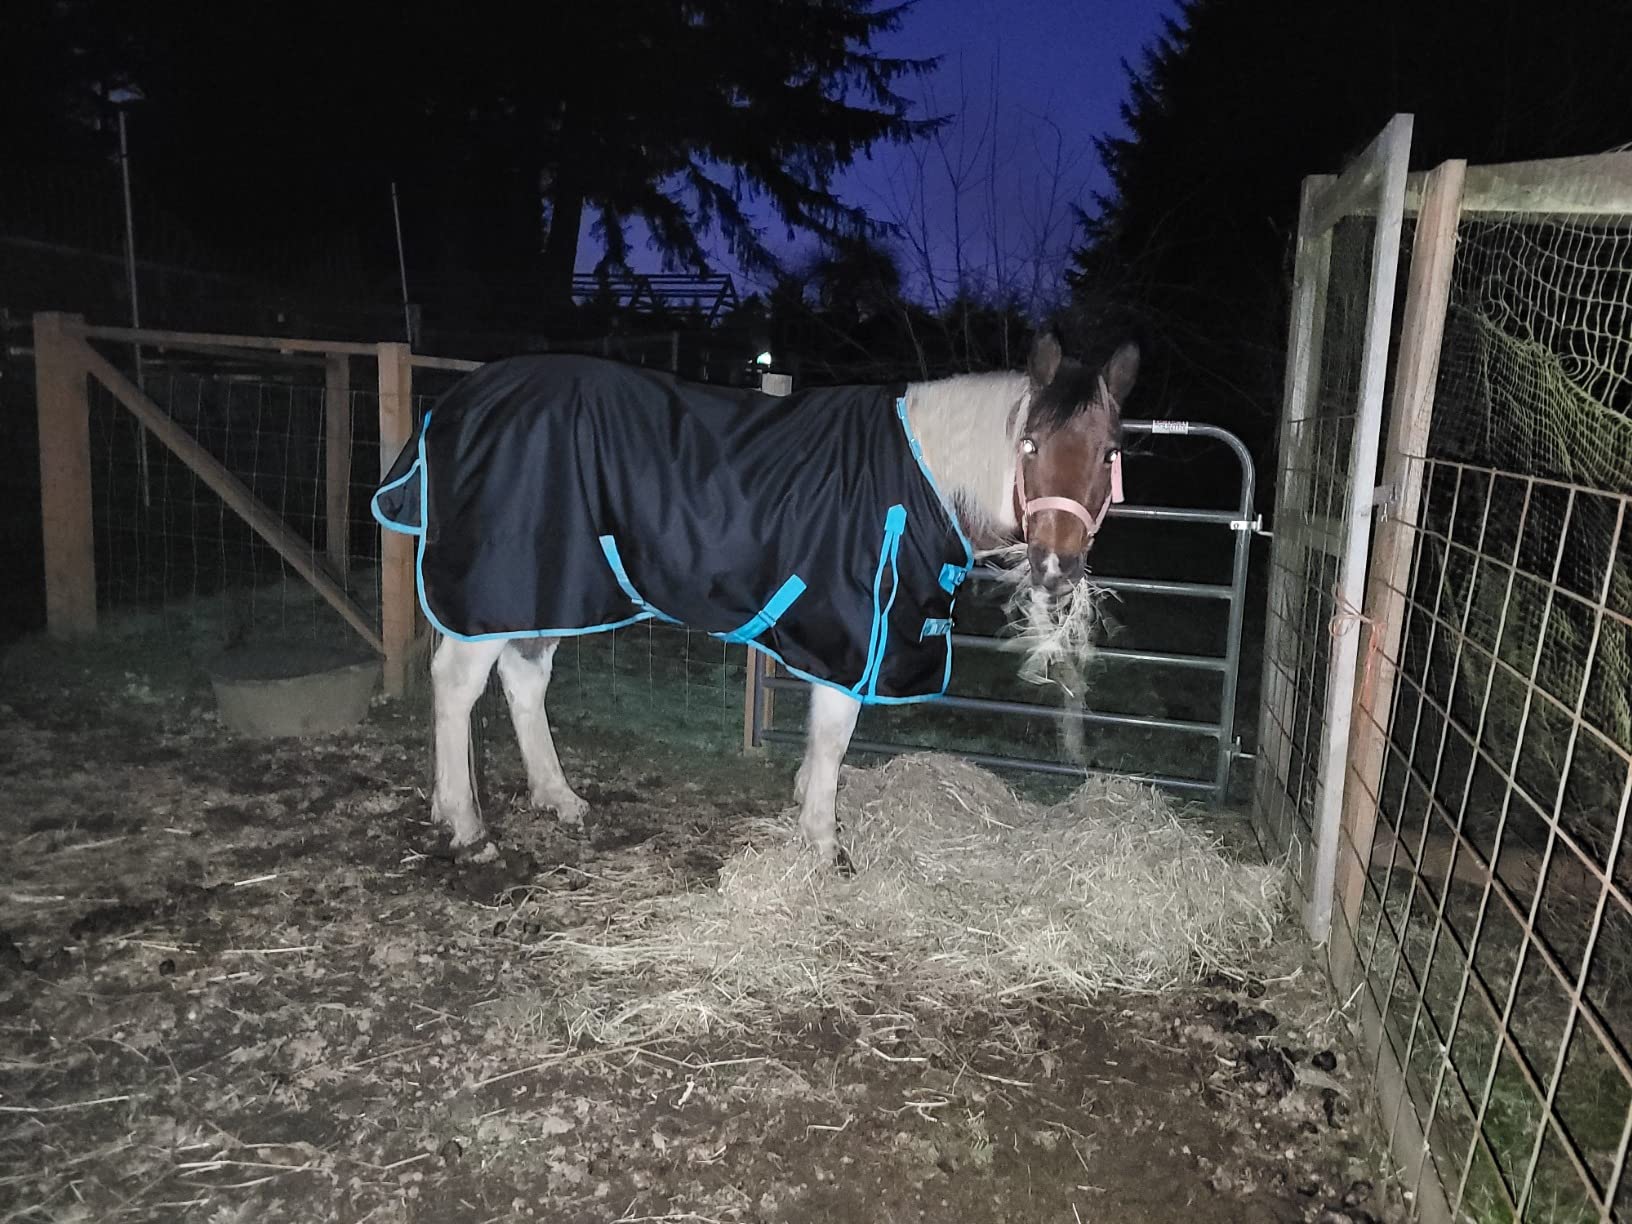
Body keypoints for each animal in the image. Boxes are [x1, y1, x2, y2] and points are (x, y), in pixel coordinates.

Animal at [371, 330, 1135, 863]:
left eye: (1107, 452)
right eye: (1030, 445)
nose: (1056, 567)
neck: (917, 476)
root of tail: (461, 401)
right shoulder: (849, 628)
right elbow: (833, 731)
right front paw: (823, 843)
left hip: (548, 583)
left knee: (525, 678)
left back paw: (558, 798)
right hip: (493, 585)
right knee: (457, 685)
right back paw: (466, 825)